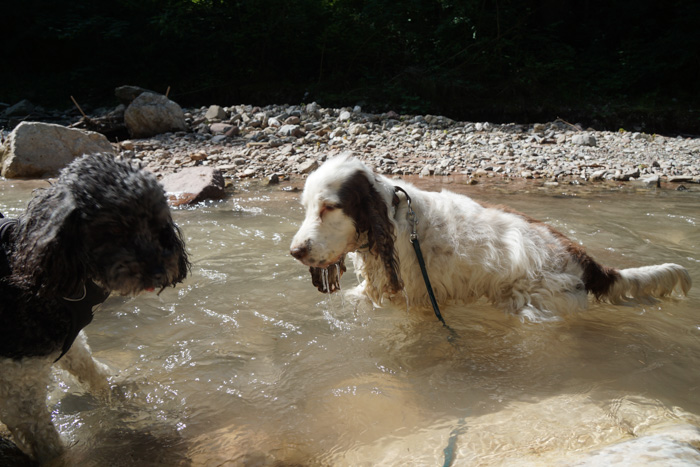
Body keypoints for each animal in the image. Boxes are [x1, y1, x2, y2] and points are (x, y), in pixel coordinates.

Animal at [0, 154, 189, 463]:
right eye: (114, 229)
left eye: (157, 224)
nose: (160, 272)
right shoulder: (19, 381)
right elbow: (48, 444)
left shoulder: (67, 342)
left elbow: (93, 371)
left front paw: (117, 404)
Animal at [290, 154, 691, 322]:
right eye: (306, 207)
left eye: (329, 207)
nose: (295, 251)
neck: (392, 218)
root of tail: (581, 258)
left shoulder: (415, 300)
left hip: (533, 304)